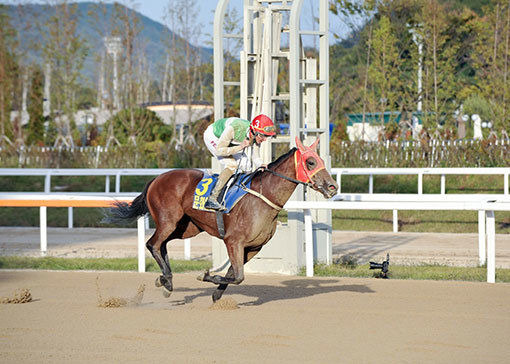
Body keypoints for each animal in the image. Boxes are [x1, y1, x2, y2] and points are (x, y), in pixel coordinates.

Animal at [105, 137, 336, 302]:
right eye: (310, 161)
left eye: (322, 160)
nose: (333, 187)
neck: (263, 197)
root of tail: (156, 178)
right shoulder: (233, 241)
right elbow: (238, 276)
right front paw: (205, 276)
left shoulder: (253, 247)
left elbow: (234, 274)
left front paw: (216, 294)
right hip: (168, 221)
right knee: (152, 244)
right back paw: (167, 281)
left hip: (186, 228)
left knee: (162, 245)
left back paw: (164, 278)